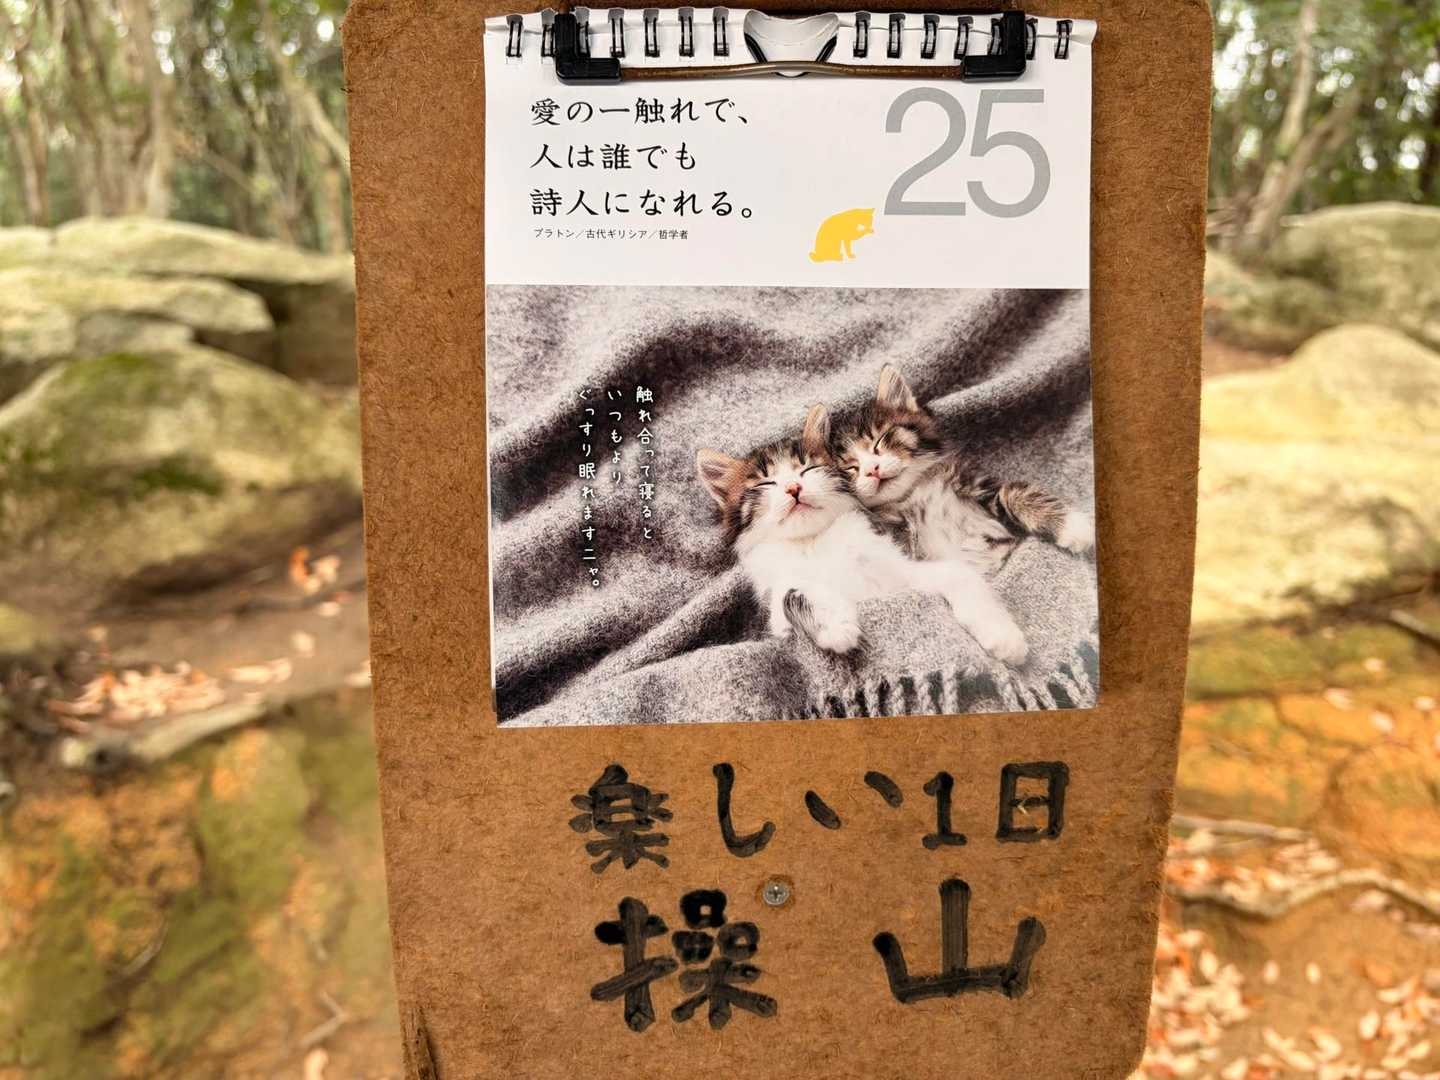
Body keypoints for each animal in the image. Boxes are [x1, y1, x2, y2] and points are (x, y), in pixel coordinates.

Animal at [695, 404, 1029, 665]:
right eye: (765, 484)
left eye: (808, 469)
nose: (793, 488)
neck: (812, 541)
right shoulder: (777, 605)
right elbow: (791, 592)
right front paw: (834, 624)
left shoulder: (901, 569)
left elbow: (959, 575)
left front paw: (1002, 634)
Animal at [823, 365, 1095, 576]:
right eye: (851, 468)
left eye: (880, 440)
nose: (872, 469)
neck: (912, 494)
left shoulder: (976, 486)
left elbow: (1014, 492)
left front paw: (1074, 526)